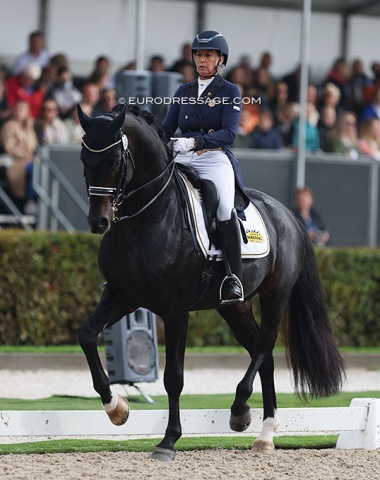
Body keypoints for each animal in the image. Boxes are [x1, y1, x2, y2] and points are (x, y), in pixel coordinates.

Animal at [76, 104, 344, 462]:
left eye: (116, 159)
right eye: (84, 158)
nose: (99, 221)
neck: (148, 217)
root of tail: (288, 214)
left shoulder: (174, 310)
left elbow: (174, 378)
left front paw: (168, 441)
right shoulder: (123, 295)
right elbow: (87, 334)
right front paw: (116, 407)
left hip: (275, 295)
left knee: (265, 345)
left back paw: (241, 410)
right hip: (234, 308)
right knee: (263, 355)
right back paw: (264, 433)